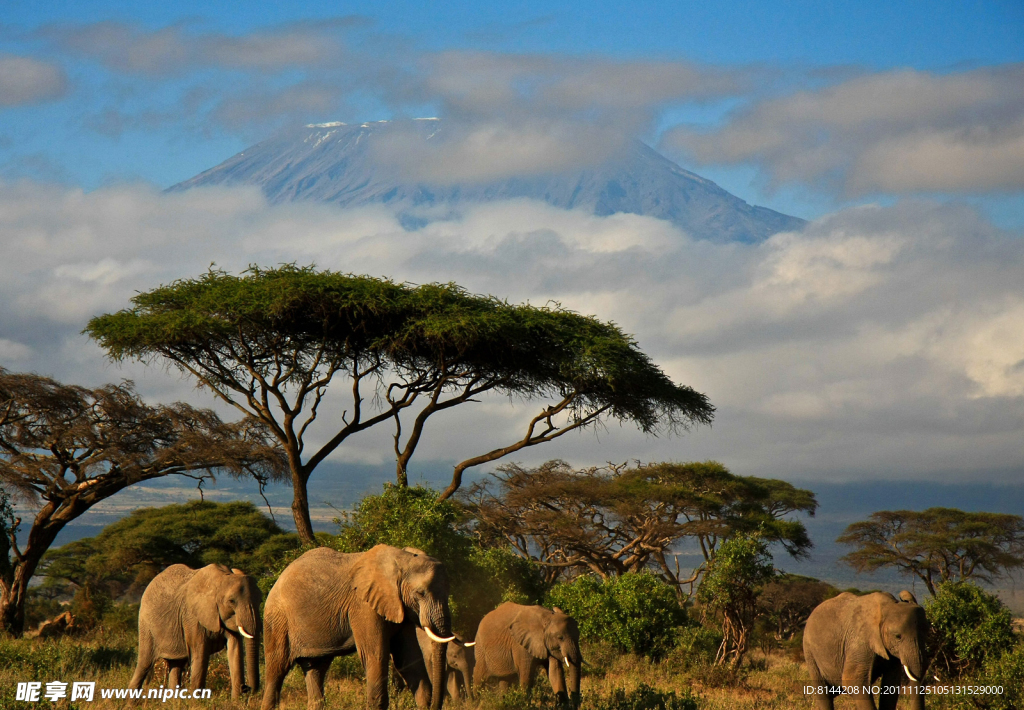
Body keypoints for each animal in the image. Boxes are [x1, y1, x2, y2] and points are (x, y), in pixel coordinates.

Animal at [127, 561, 260, 700]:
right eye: (231, 601)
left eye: (261, 600)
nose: (246, 688)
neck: (221, 578)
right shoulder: (192, 617)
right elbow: (200, 653)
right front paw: (197, 703)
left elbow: (235, 650)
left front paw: (235, 702)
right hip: (146, 625)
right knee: (144, 664)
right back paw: (130, 703)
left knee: (176, 665)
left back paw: (173, 703)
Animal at [260, 540, 456, 708]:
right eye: (420, 593)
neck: (401, 559)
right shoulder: (363, 607)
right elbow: (375, 656)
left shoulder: (402, 607)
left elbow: (407, 659)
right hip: (277, 620)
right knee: (276, 670)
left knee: (315, 670)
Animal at [802, 586, 933, 708]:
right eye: (898, 636)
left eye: (927, 633)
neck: (888, 606)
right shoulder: (859, 641)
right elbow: (854, 681)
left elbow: (891, 684)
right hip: (809, 651)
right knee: (823, 693)